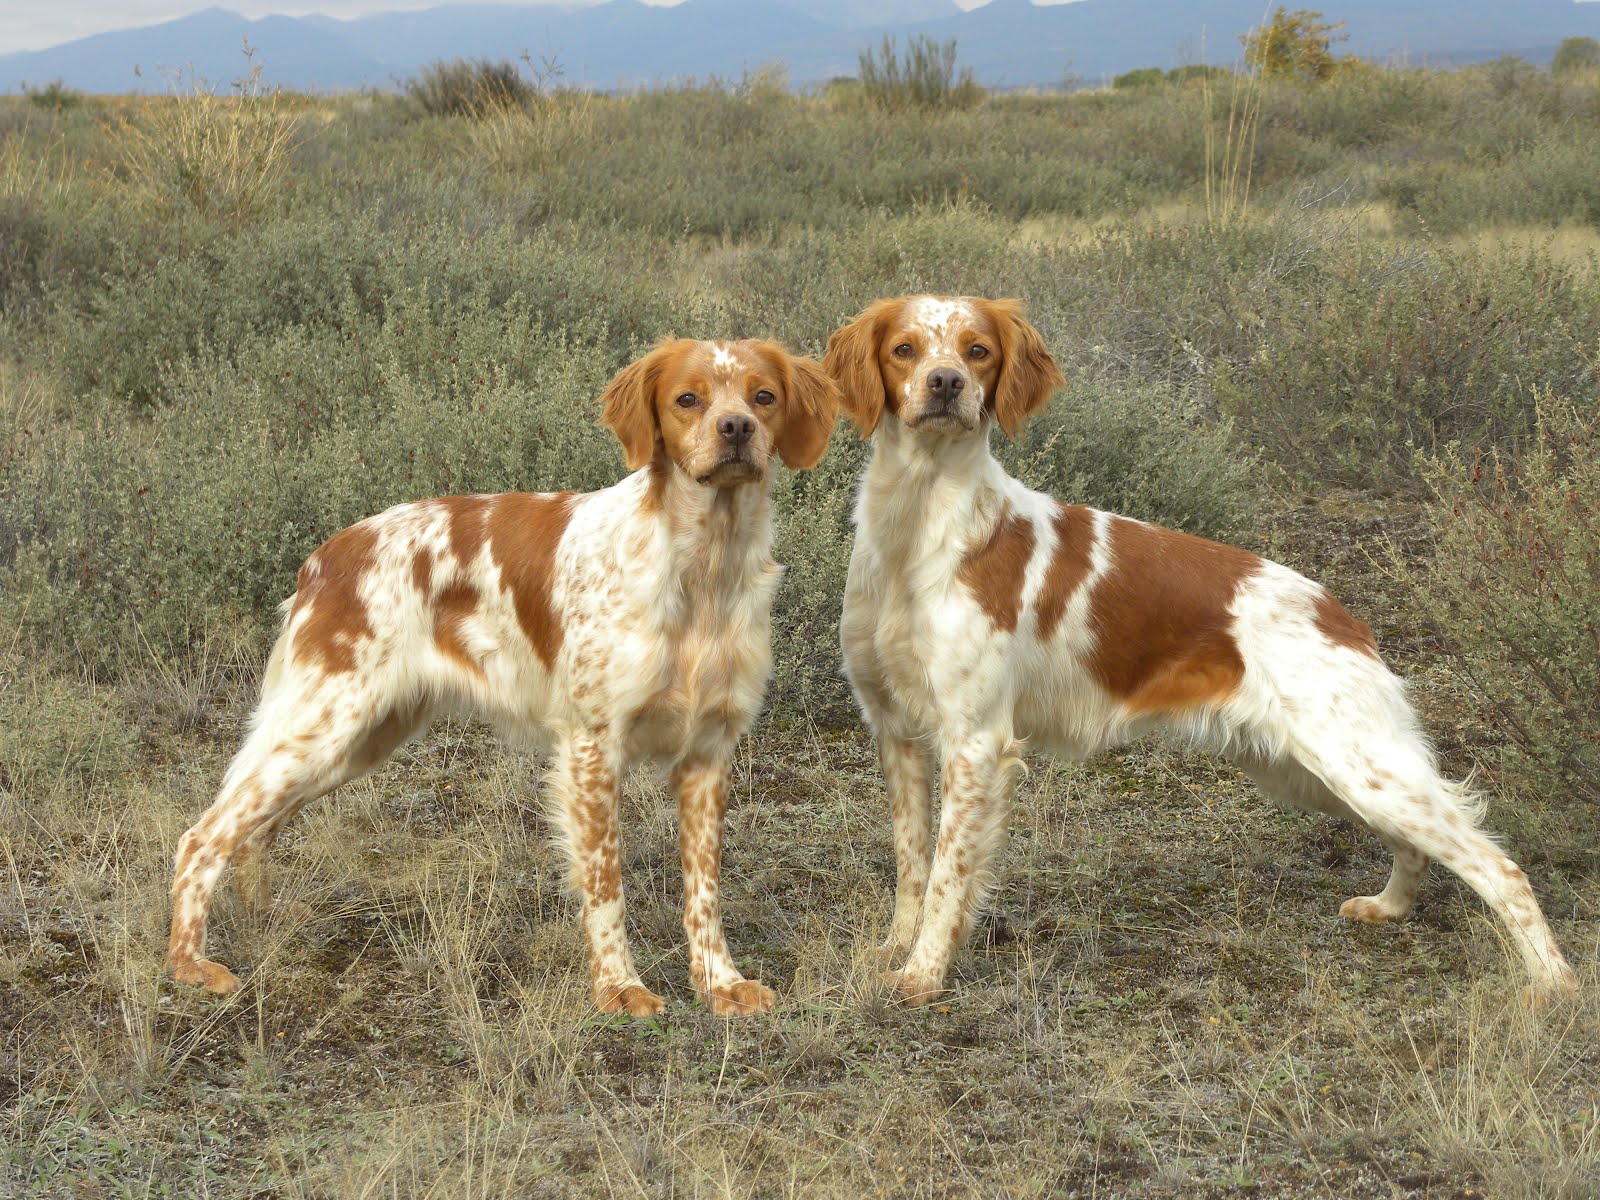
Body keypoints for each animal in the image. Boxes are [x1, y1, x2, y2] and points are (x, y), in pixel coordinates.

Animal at [168, 336, 844, 1017]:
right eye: (688, 399)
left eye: (763, 396)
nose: (737, 429)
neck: (702, 566)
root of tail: (325, 557)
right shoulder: (592, 745)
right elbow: (605, 882)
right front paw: (620, 987)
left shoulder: (709, 750)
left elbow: (704, 888)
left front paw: (720, 983)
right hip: (326, 724)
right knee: (204, 835)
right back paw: (189, 964)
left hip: (357, 740)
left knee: (254, 830)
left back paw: (265, 920)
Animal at [825, 299, 1574, 1004]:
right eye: (905, 349)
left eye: (976, 350)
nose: (945, 383)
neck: (918, 527)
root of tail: (1342, 615)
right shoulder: (895, 730)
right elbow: (913, 861)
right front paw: (895, 948)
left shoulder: (975, 741)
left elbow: (949, 874)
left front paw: (923, 976)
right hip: (1311, 772)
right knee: (1417, 845)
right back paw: (1390, 907)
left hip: (1356, 764)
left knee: (1498, 865)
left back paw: (1553, 984)